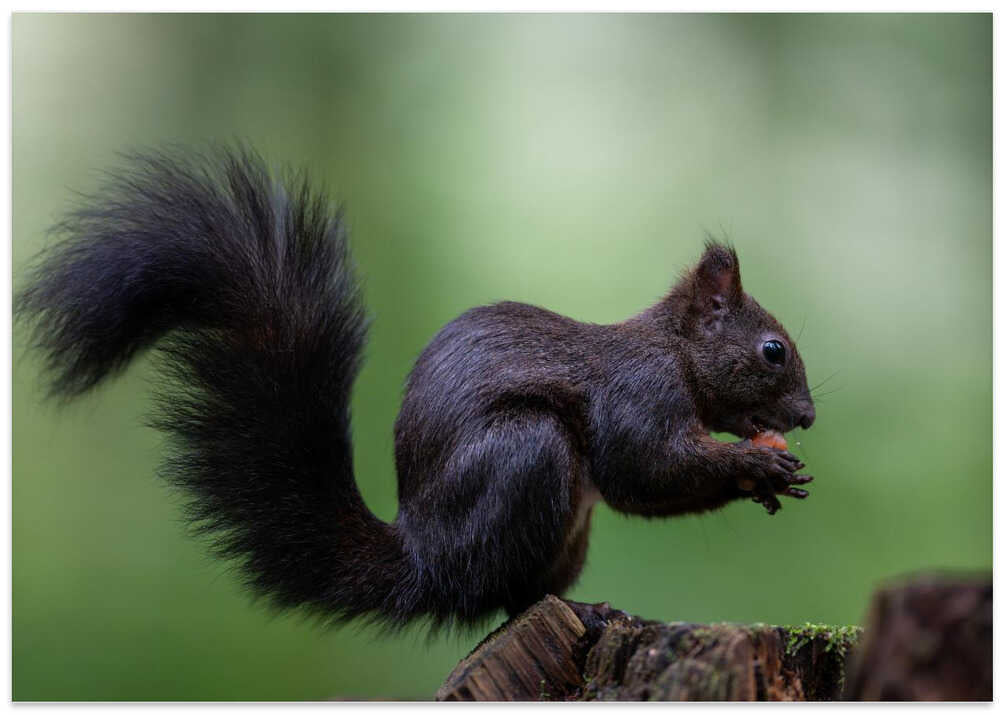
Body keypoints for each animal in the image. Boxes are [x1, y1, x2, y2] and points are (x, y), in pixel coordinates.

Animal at [16, 146, 815, 632]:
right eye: (772, 350)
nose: (807, 416)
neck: (673, 352)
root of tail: (425, 558)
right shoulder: (638, 395)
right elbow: (645, 468)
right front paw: (759, 463)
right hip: (527, 456)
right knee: (503, 595)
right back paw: (581, 612)